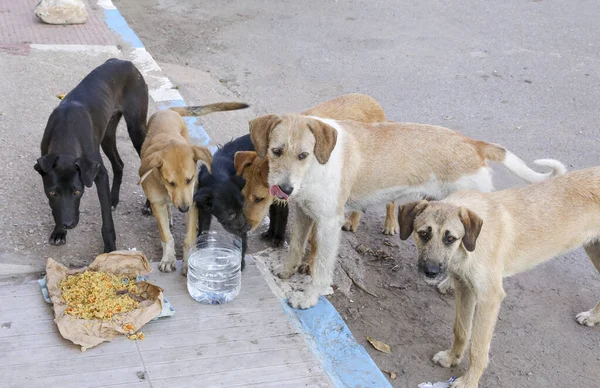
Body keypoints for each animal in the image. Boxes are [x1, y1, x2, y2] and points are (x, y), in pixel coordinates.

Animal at [34, 57, 148, 252]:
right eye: (53, 192)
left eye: (77, 192)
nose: (68, 224)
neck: (66, 132)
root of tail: (125, 61)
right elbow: (56, 209)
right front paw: (58, 232)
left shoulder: (99, 174)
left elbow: (106, 218)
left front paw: (110, 247)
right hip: (107, 134)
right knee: (119, 164)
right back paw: (113, 198)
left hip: (137, 130)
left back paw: (149, 205)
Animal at [141, 101, 248, 274]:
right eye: (170, 182)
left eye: (190, 179)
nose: (184, 209)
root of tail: (168, 111)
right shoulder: (157, 204)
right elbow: (166, 236)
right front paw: (168, 258)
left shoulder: (193, 201)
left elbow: (190, 237)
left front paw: (187, 262)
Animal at [195, 133, 255, 270]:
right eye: (230, 214)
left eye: (242, 207)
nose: (248, 227)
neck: (218, 176)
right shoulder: (203, 209)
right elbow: (203, 228)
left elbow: (241, 241)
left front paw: (240, 262)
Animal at [250, 113, 568, 308]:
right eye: (276, 151)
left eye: (303, 155)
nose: (285, 190)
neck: (317, 165)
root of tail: (473, 144)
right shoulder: (304, 213)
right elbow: (295, 247)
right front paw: (287, 271)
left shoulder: (328, 223)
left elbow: (320, 268)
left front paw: (309, 298)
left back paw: (449, 284)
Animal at [396, 167, 600, 388]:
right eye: (423, 234)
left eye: (450, 239)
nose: (431, 272)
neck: (470, 244)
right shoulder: (464, 289)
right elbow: (461, 330)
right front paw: (452, 358)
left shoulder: (489, 299)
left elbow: (478, 348)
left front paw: (469, 381)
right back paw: (594, 316)